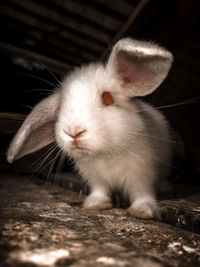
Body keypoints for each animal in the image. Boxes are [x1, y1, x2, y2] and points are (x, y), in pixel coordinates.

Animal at [7, 38, 173, 221]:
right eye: (60, 108)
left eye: (108, 98)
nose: (73, 131)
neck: (105, 153)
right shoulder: (96, 178)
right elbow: (101, 191)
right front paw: (95, 205)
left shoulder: (142, 173)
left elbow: (142, 193)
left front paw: (143, 211)